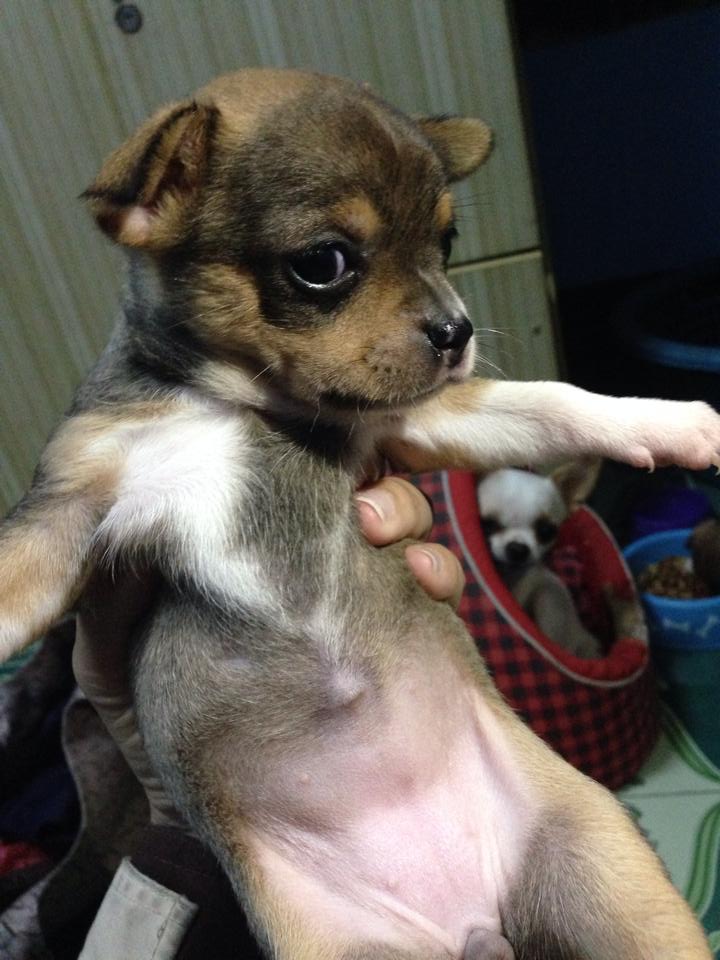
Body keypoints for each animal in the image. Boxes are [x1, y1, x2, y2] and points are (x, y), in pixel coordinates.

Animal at [477, 460, 627, 659]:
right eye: (488, 524)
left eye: (546, 531)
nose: (518, 549)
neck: (508, 574)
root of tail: (583, 636)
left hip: (549, 599)